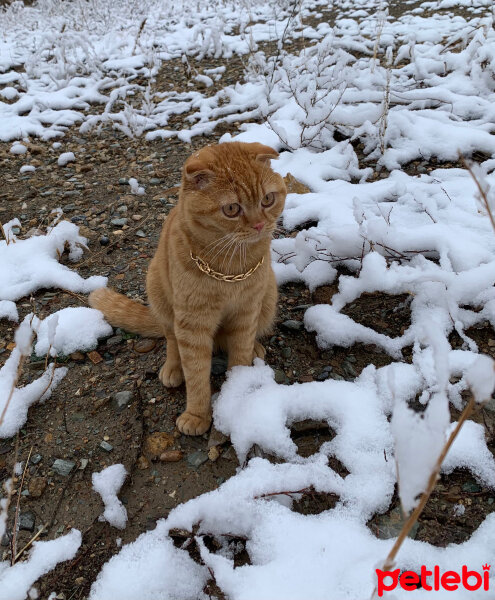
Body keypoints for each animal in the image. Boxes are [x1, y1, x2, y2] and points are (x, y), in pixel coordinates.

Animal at [89, 142, 286, 434]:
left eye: (268, 200)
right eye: (231, 209)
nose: (260, 224)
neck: (230, 268)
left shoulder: (246, 311)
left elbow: (239, 354)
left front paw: (237, 395)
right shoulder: (192, 323)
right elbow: (195, 374)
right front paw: (197, 414)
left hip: (269, 296)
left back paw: (255, 349)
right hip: (158, 292)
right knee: (171, 339)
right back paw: (173, 369)